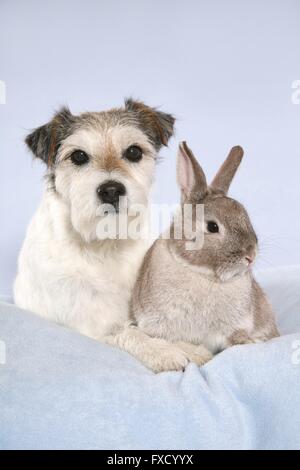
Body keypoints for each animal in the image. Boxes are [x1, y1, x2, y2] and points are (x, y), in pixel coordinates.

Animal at [14, 99, 202, 370]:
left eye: (133, 152)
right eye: (79, 156)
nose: (111, 190)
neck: (106, 244)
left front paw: (188, 347)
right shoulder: (94, 323)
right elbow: (129, 332)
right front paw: (161, 351)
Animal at [130, 140, 280, 364]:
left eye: (244, 214)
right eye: (212, 227)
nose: (250, 255)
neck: (204, 275)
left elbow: (235, 338)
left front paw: (251, 341)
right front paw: (196, 356)